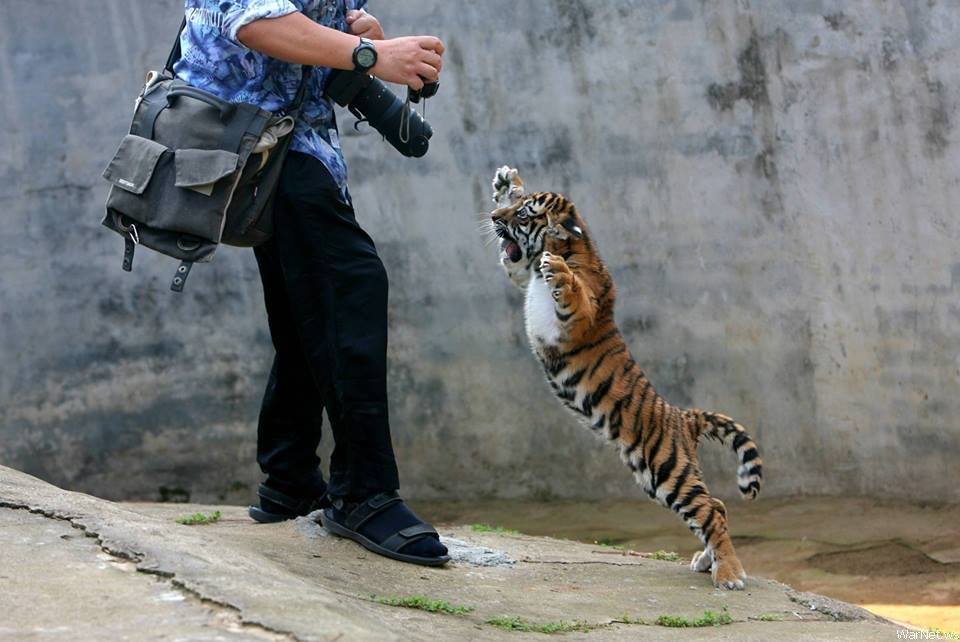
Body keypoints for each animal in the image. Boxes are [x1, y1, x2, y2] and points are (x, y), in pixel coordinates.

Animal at [486, 166, 763, 590]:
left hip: (669, 471)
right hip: (655, 479)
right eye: (515, 206)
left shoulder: (578, 316)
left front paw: (558, 269)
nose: (493, 217)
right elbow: (513, 264)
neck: (570, 246)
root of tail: (683, 417)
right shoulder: (521, 274)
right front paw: (506, 180)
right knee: (714, 506)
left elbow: (570, 290)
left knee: (710, 511)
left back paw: (729, 574)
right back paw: (707, 562)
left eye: (523, 215)